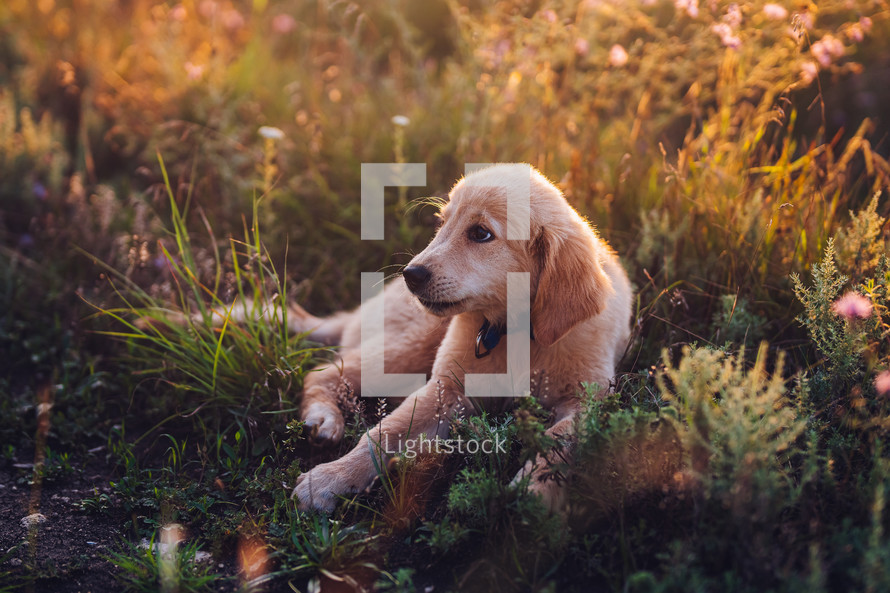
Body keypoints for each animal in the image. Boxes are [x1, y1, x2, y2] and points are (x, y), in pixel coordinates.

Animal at [294, 164, 632, 512]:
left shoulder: (587, 399)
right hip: (409, 347)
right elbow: (384, 432)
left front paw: (536, 492)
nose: (410, 275)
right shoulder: (448, 388)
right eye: (442, 223)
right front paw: (329, 479)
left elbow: (559, 439)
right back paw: (323, 418)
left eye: (481, 233)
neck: (514, 332)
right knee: (321, 373)